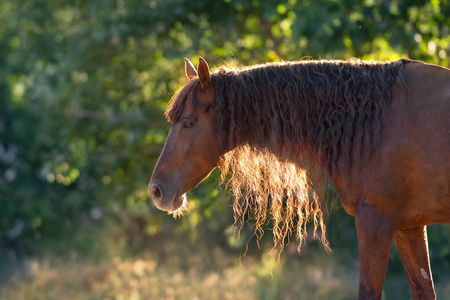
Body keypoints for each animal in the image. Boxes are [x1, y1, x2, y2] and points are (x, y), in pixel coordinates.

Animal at [149, 56, 450, 300]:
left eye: (188, 124)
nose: (156, 191)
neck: (373, 122)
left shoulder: (376, 220)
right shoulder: (409, 227)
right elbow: (423, 290)